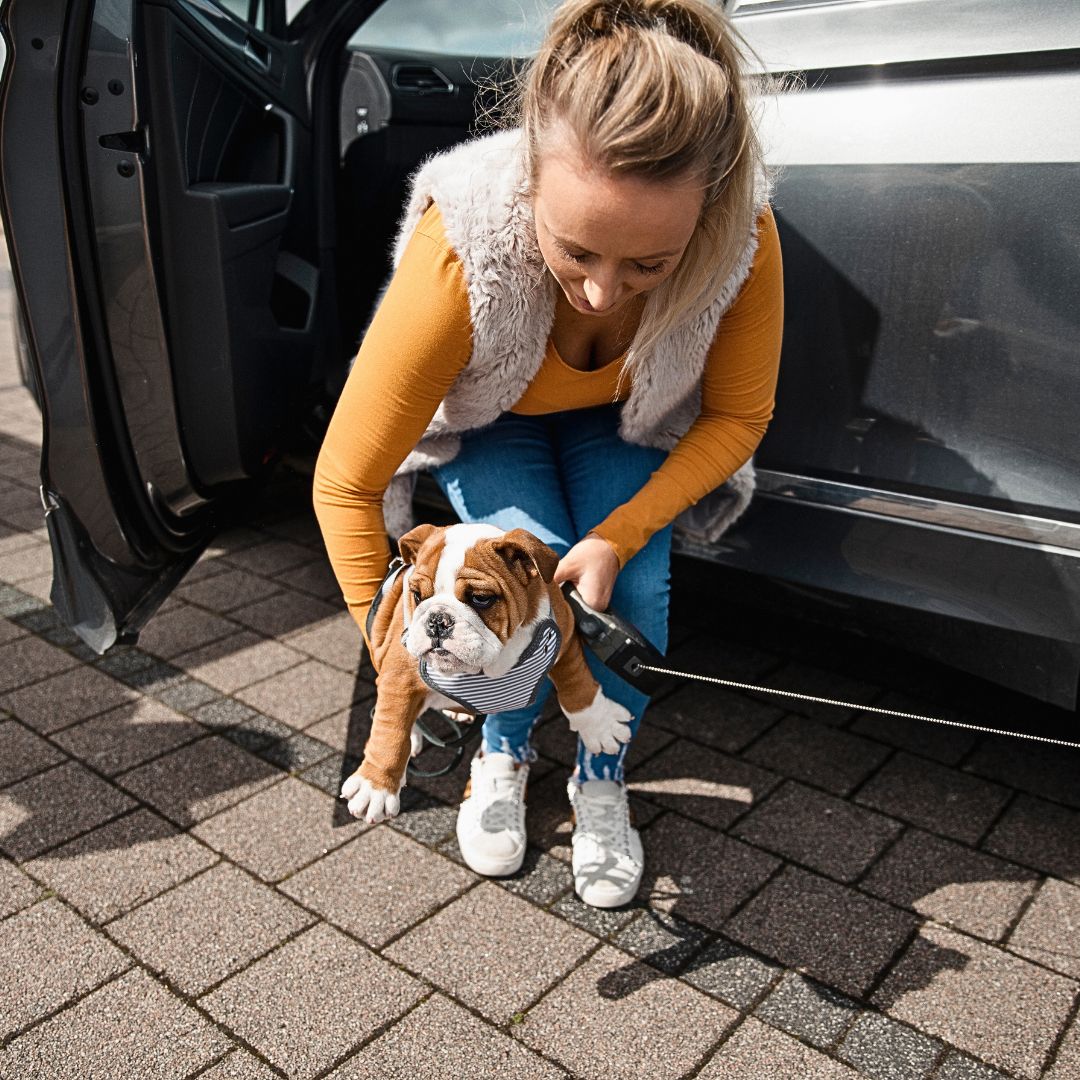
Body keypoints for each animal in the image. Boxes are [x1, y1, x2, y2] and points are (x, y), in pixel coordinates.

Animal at [341, 522, 630, 816]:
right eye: (417, 595)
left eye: (481, 598)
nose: (437, 621)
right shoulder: (400, 677)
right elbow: (391, 727)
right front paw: (375, 786)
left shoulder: (566, 633)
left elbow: (576, 680)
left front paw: (599, 724)